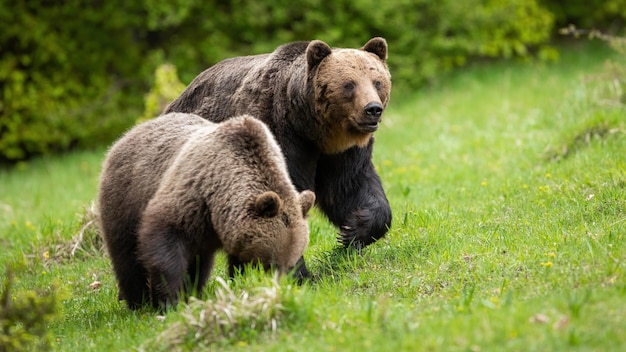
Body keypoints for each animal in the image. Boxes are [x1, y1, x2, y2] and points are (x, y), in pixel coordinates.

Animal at [98, 112, 314, 308]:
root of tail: (127, 134)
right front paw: (170, 300)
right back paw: (137, 302)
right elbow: (165, 242)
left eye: (290, 264)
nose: (278, 288)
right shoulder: (192, 196)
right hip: (126, 198)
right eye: (271, 264)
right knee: (126, 256)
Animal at [163, 38, 392, 280]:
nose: (372, 109)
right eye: (349, 84)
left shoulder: (341, 154)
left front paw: (351, 230)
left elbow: (350, 187)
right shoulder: (279, 135)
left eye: (377, 82)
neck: (309, 128)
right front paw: (301, 275)